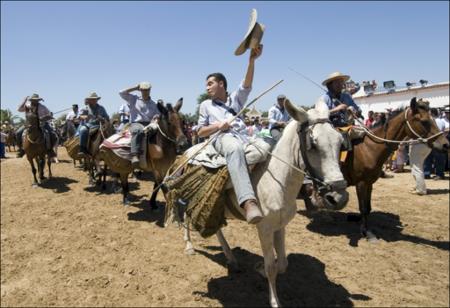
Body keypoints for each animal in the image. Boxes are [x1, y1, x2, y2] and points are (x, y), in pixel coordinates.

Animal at [182, 99, 348, 308]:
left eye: (340, 142)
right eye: (313, 145)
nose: (338, 197)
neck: (277, 178)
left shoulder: (280, 225)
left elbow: (282, 264)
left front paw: (258, 268)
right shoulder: (264, 228)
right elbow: (271, 267)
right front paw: (274, 300)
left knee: (216, 228)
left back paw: (231, 258)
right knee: (185, 217)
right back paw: (189, 246)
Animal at [340, 98, 448, 241]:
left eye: (434, 119)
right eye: (424, 121)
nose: (445, 144)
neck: (369, 148)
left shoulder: (369, 182)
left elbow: (367, 207)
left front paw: (364, 227)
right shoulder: (361, 183)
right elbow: (363, 207)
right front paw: (365, 231)